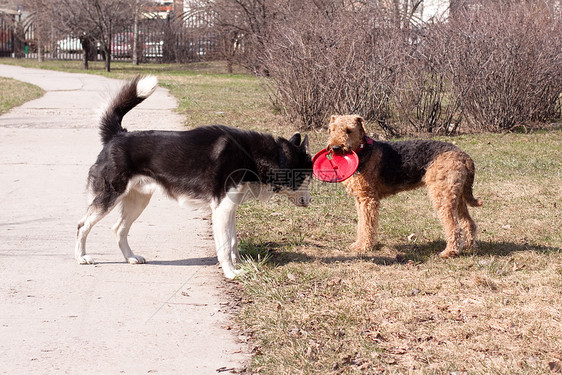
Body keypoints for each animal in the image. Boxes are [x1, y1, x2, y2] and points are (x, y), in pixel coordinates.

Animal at [74, 76, 310, 278]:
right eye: (306, 179)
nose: (309, 201)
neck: (251, 154)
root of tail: (117, 135)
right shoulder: (222, 210)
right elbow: (225, 246)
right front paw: (230, 272)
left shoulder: (229, 209)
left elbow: (233, 242)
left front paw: (239, 264)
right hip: (109, 198)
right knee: (82, 225)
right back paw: (82, 257)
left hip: (138, 201)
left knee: (119, 228)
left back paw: (130, 257)